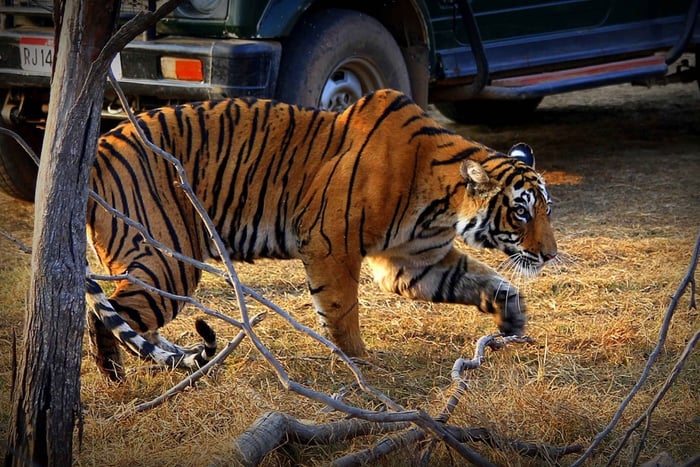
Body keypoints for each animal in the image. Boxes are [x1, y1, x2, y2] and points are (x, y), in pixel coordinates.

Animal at [85, 89, 557, 381]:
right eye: (520, 212)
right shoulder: (333, 244)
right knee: (105, 314)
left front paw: (512, 318)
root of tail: (100, 145)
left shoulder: (416, 263)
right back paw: (115, 378)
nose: (550, 255)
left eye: (546, 210)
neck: (442, 206)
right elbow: (341, 310)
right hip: (170, 258)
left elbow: (484, 282)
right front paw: (360, 363)